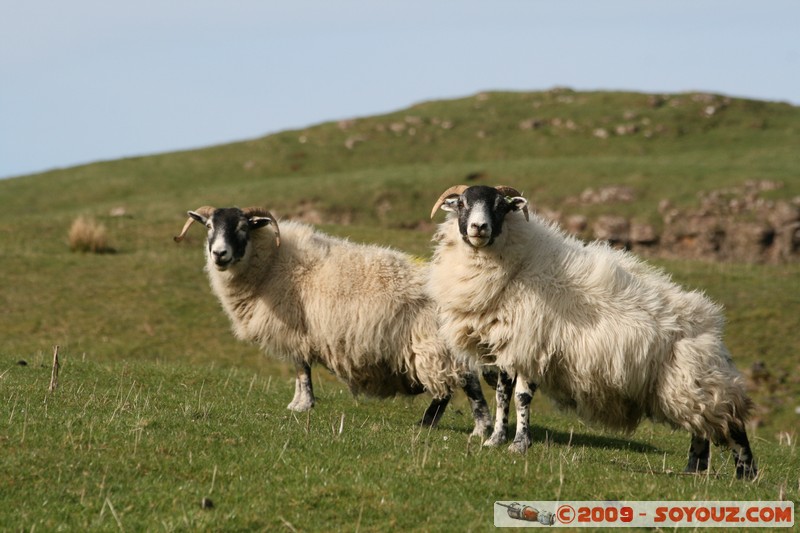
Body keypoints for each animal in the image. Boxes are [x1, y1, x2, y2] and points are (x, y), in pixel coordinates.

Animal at [175, 206, 494, 434]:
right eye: (209, 227)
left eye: (242, 227)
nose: (219, 254)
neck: (270, 264)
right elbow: (300, 369)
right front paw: (299, 403)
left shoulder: (297, 331)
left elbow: (301, 369)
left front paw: (301, 405)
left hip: (432, 343)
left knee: (463, 383)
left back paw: (474, 427)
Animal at [432, 184, 756, 478]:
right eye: (461, 203)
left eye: (500, 205)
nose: (479, 227)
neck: (520, 264)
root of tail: (713, 322)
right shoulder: (509, 346)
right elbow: (502, 395)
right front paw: (495, 439)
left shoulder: (533, 344)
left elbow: (521, 397)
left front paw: (520, 445)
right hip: (687, 387)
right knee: (702, 430)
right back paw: (693, 470)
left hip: (699, 381)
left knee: (733, 425)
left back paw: (746, 475)